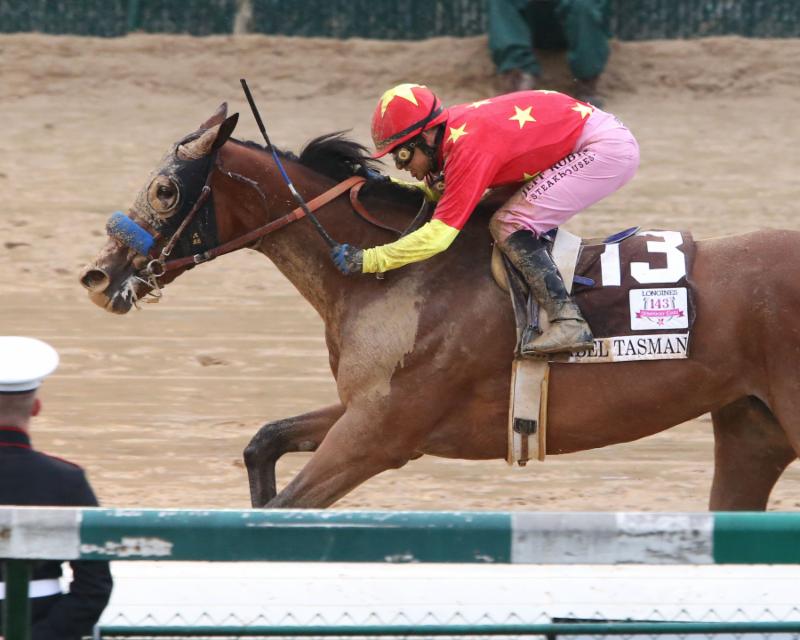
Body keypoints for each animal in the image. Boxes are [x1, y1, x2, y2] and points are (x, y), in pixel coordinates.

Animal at [79, 104, 800, 510]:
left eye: (166, 190)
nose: (97, 275)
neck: (397, 281)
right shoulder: (363, 409)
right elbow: (263, 444)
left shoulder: (379, 435)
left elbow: (289, 505)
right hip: (752, 428)